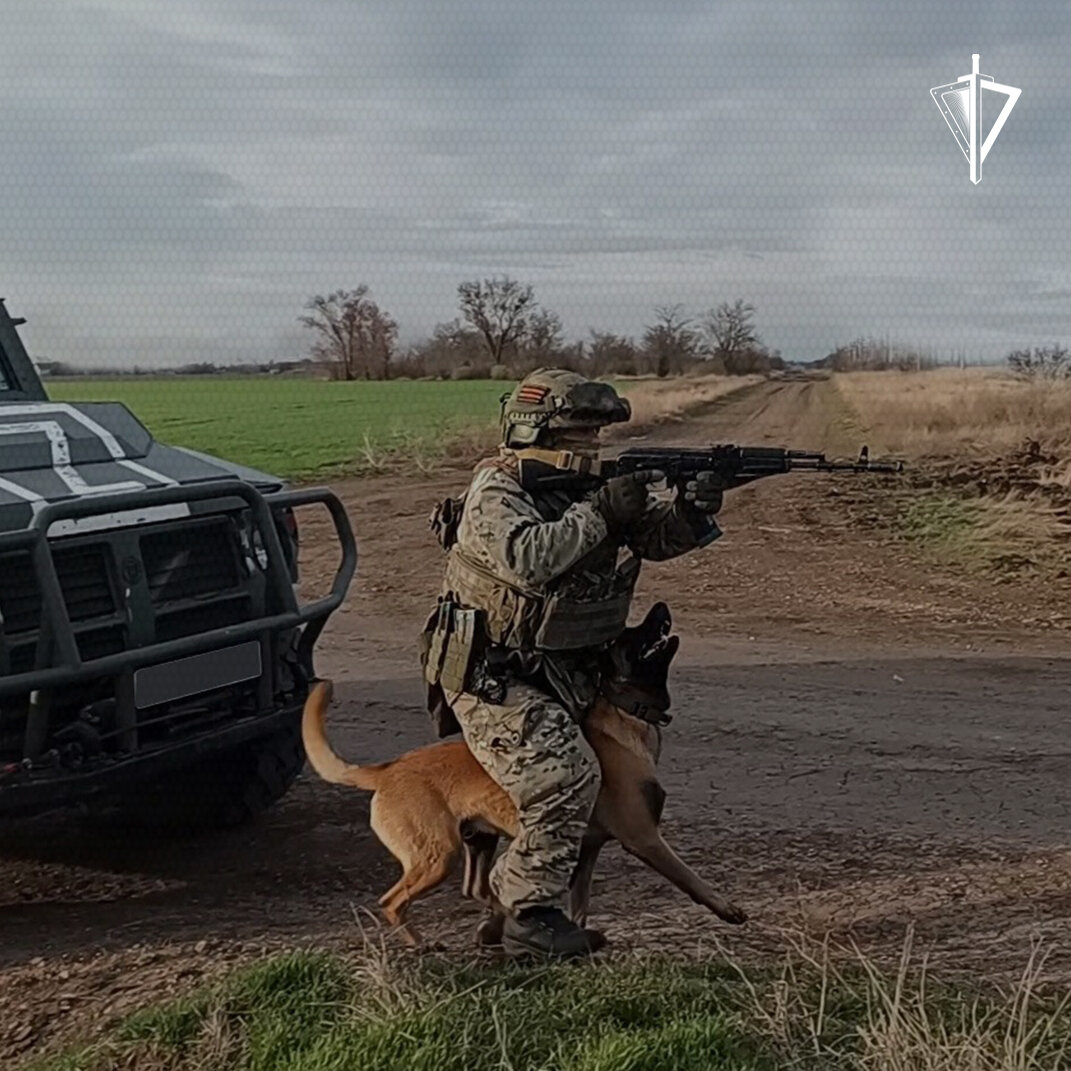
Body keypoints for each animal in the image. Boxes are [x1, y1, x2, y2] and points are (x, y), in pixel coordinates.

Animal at [304, 604, 745, 946]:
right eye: (630, 637)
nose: (660, 607)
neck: (625, 714)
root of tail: (387, 771)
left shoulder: (587, 852)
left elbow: (579, 905)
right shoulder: (645, 838)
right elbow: (691, 878)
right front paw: (726, 908)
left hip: (477, 841)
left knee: (477, 887)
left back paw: (494, 924)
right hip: (439, 854)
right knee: (392, 902)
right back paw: (422, 944)